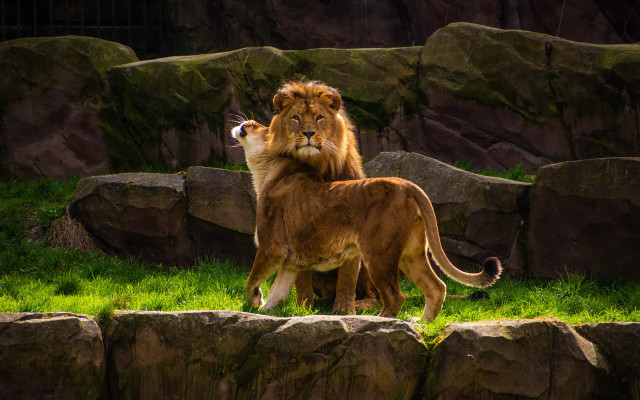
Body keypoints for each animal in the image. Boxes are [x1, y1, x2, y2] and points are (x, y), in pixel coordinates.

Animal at [231, 120, 502, 321]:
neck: (267, 171)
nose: (245, 121)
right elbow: (278, 291)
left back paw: (379, 320)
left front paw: (252, 303)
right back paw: (422, 323)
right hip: (411, 253)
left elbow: (252, 278)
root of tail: (408, 184)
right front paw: (265, 310)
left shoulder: (272, 247)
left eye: (261, 126)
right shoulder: (291, 262)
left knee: (395, 296)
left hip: (378, 252)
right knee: (437, 288)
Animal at [267, 80, 377, 313]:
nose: (308, 133)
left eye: (319, 117)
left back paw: (362, 303)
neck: (316, 166)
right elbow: (301, 278)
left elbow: (347, 277)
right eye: (296, 118)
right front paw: (303, 307)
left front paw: (344, 310)